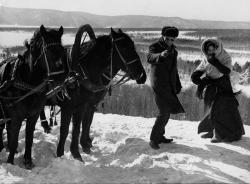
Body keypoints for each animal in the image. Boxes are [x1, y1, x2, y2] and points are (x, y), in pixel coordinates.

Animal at [0, 25, 65, 169]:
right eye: (48, 50)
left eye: (63, 50)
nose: (61, 76)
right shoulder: (16, 117)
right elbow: (14, 139)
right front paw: (10, 162)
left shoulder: (33, 116)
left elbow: (29, 139)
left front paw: (28, 160)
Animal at [40, 24, 147, 161]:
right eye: (125, 47)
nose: (142, 75)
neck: (79, 74)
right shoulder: (69, 107)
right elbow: (66, 130)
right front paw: (62, 154)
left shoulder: (87, 105)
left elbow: (83, 125)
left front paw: (82, 148)